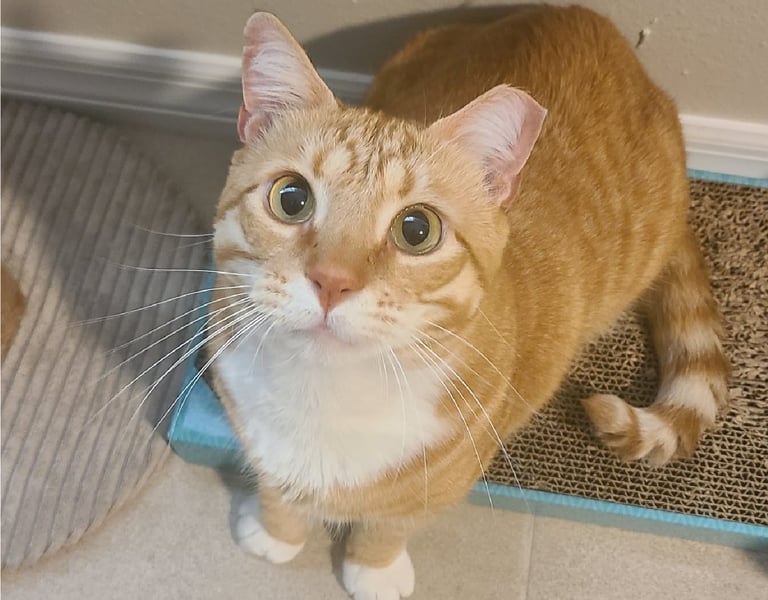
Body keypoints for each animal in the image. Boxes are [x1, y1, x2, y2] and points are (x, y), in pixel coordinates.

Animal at [206, 6, 729, 599]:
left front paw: (374, 569)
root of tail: (586, 17)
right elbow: (275, 486)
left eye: (416, 230)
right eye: (291, 198)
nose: (331, 281)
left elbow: (392, 523)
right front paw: (276, 531)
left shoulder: (449, 469)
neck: (324, 394)